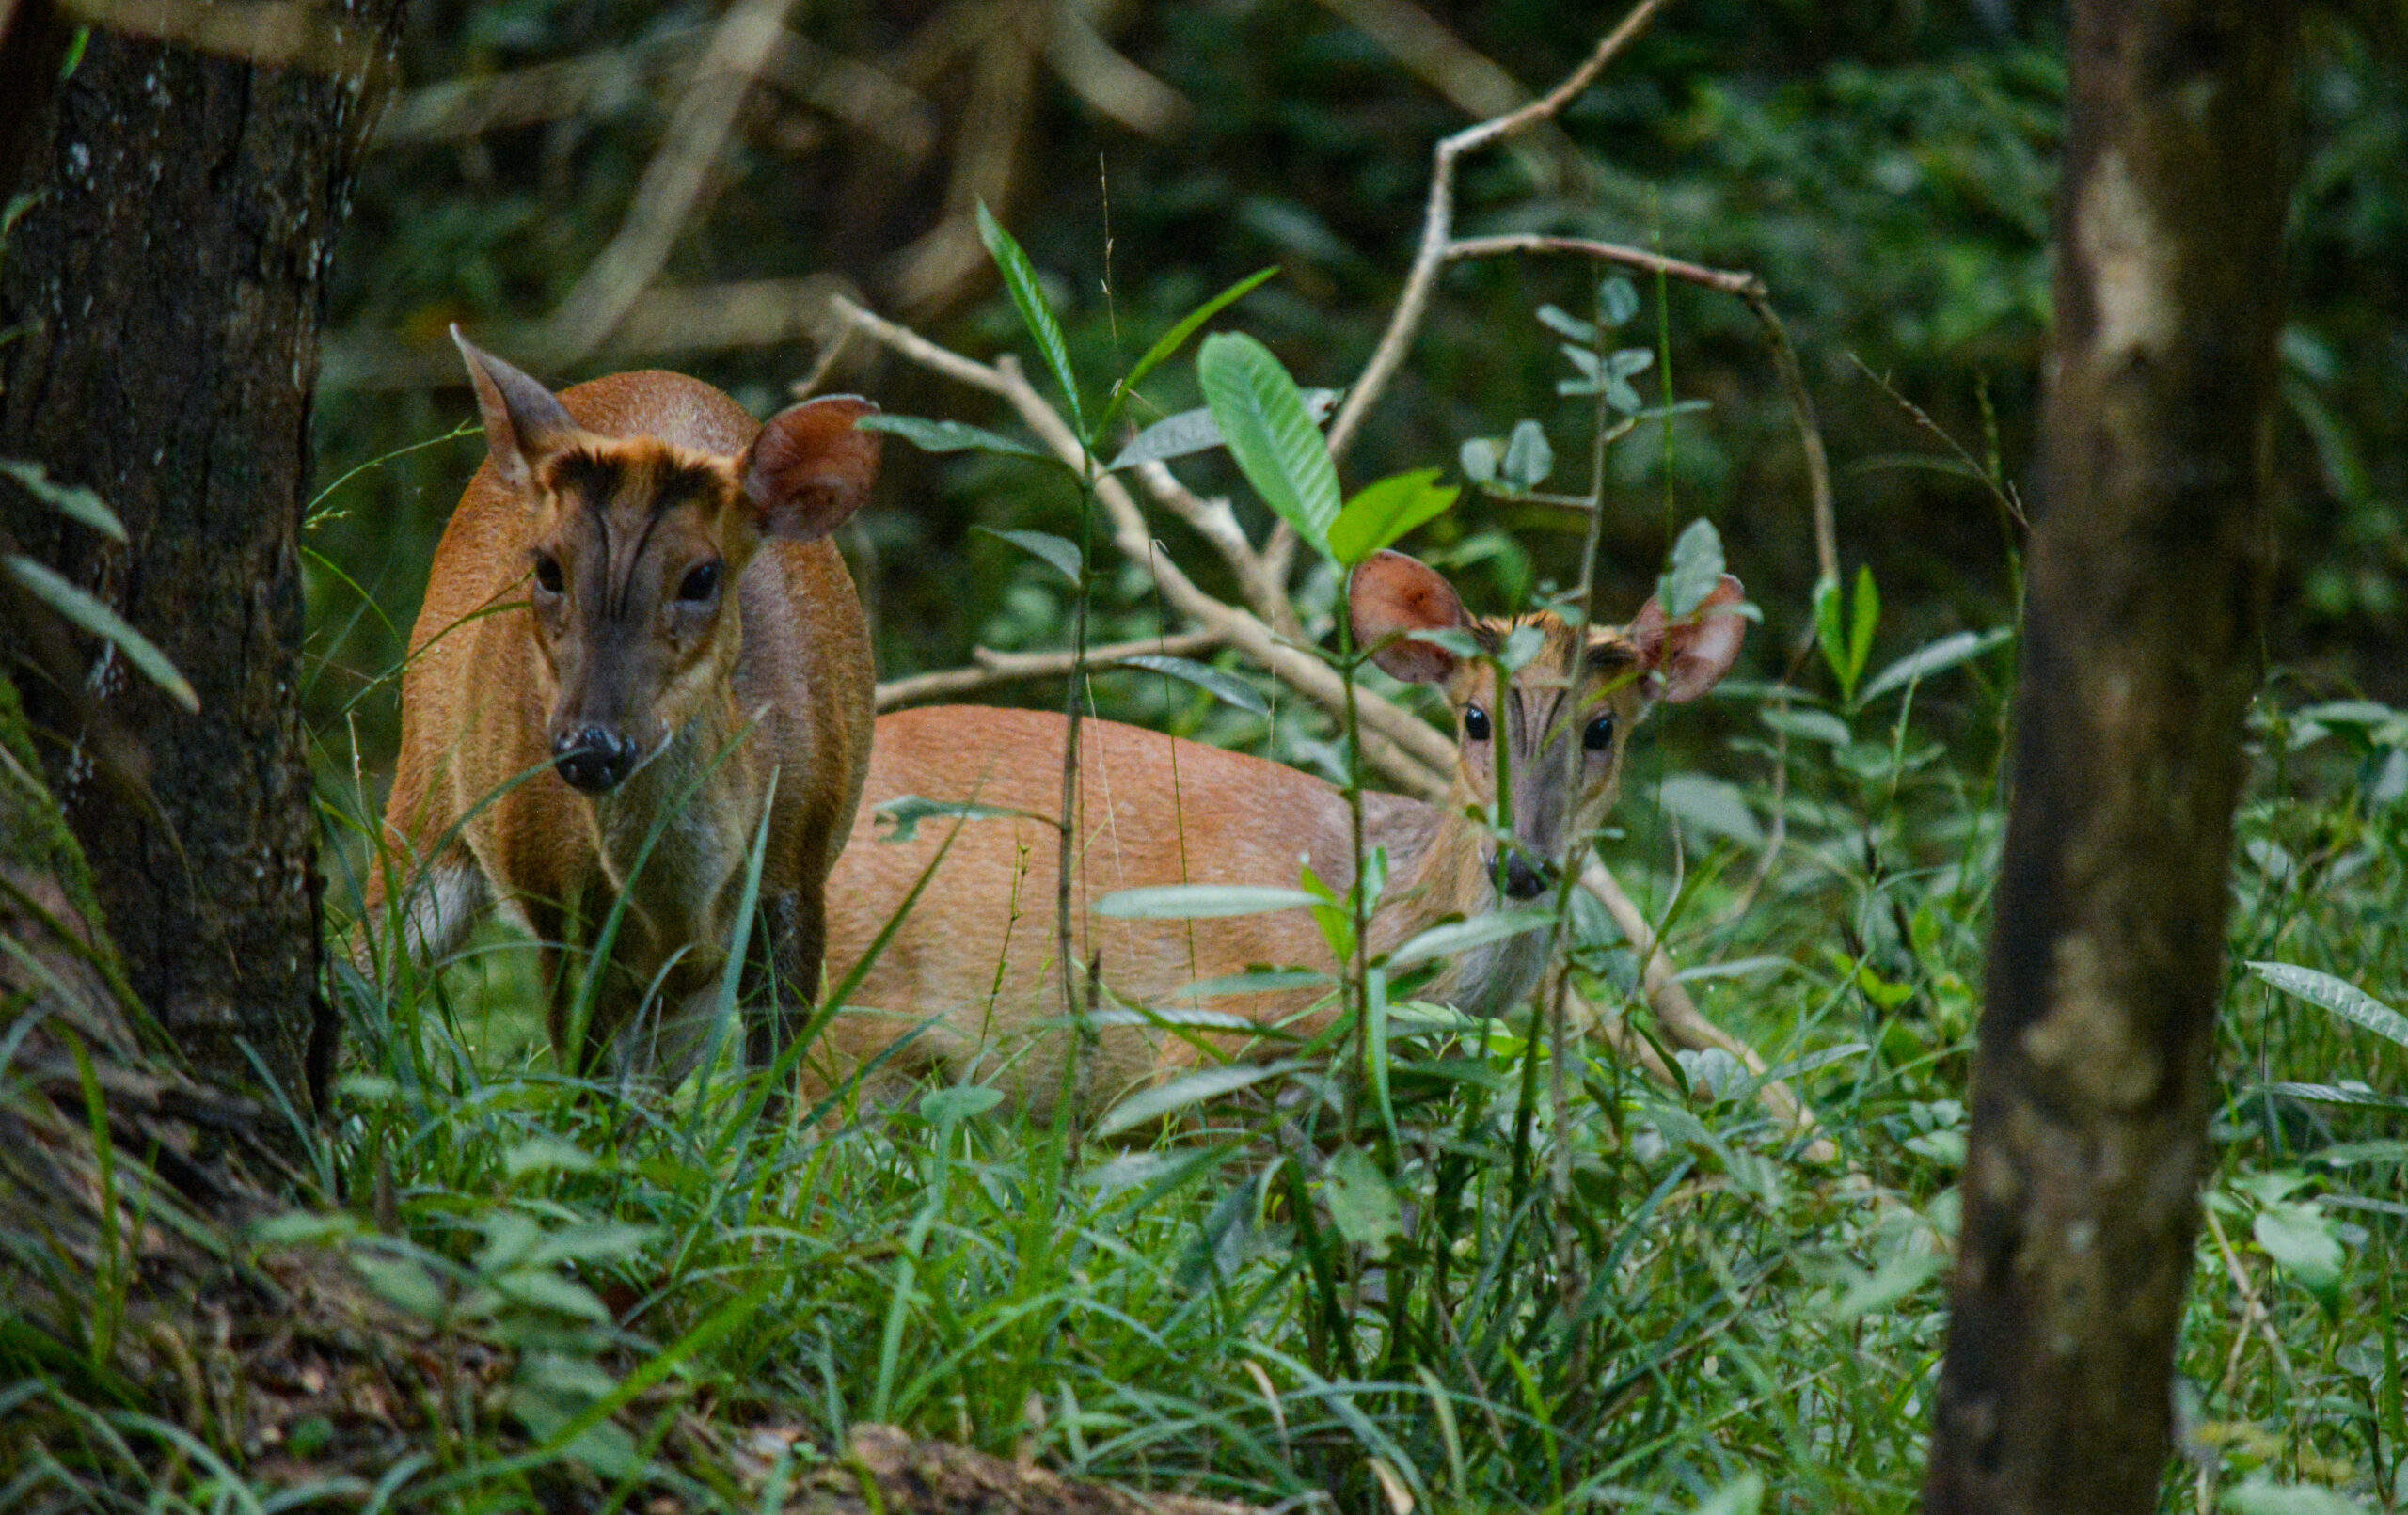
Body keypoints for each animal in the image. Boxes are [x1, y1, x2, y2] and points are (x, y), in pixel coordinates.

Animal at [366, 335, 876, 1074]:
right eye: (547, 567)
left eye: (702, 575)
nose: (591, 744)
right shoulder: (559, 901)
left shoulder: (797, 871)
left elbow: (770, 1083)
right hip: (425, 793)